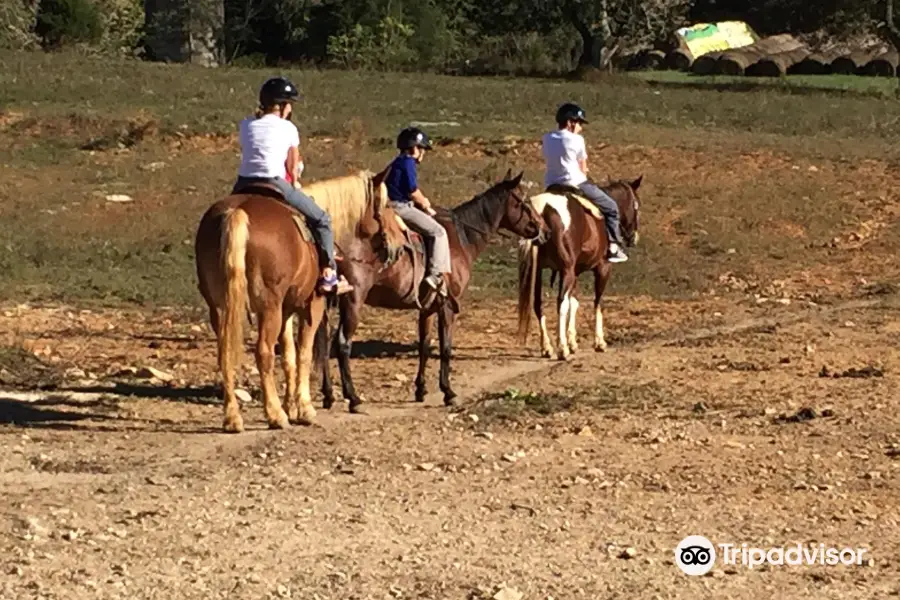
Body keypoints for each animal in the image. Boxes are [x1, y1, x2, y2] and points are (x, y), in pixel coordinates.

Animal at [195, 169, 396, 432]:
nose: (394, 248)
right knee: (264, 352)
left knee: (225, 353)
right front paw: (304, 409)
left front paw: (291, 407)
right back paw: (274, 415)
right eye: (387, 205)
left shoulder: (286, 310)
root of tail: (237, 213)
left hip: (219, 308)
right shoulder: (312, 305)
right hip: (268, 307)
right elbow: (304, 353)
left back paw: (233, 418)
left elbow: (289, 356)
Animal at [320, 169, 552, 412]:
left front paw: (420, 390)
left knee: (324, 343)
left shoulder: (427, 308)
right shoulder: (448, 306)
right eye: (525, 201)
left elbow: (424, 345)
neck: (459, 240)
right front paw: (448, 391)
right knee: (342, 344)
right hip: (353, 302)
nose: (546, 231)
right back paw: (353, 398)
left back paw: (328, 395)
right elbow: (446, 348)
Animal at [516, 175, 644, 360]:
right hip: (566, 270)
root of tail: (542, 209)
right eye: (637, 205)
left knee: (538, 304)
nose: (633, 237)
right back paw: (562, 349)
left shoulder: (573, 272)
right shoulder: (602, 268)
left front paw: (572, 342)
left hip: (538, 271)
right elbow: (598, 302)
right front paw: (599, 342)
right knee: (560, 303)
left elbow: (574, 302)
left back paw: (547, 347)